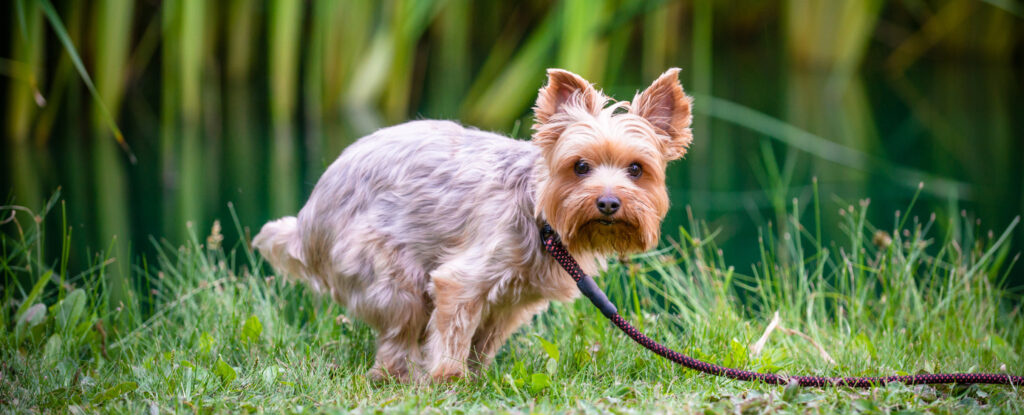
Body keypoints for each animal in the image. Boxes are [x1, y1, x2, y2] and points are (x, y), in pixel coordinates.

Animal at [251, 68, 692, 381]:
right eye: (580, 166)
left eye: (636, 169)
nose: (608, 202)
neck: (540, 214)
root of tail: (308, 221)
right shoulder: (462, 280)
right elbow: (453, 332)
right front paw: (449, 378)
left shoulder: (510, 303)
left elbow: (483, 340)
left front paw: (477, 377)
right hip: (387, 270)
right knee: (398, 334)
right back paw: (397, 376)